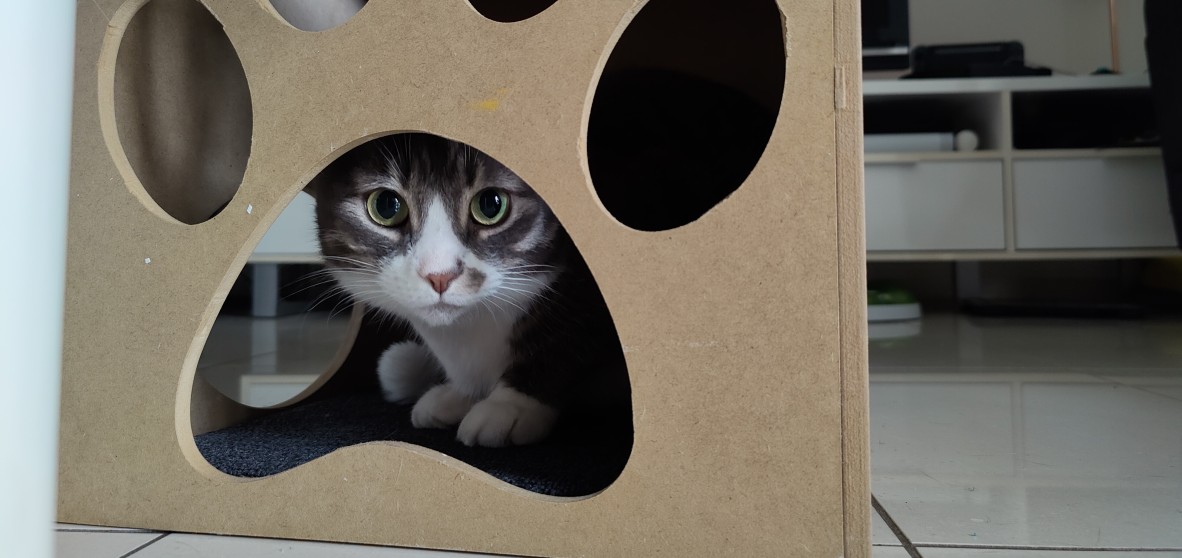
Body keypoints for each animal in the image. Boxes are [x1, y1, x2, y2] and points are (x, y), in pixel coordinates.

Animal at [312, 132, 628, 446]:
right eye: (386, 206)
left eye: (491, 205)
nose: (439, 275)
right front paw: (457, 394)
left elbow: (567, 328)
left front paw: (509, 405)